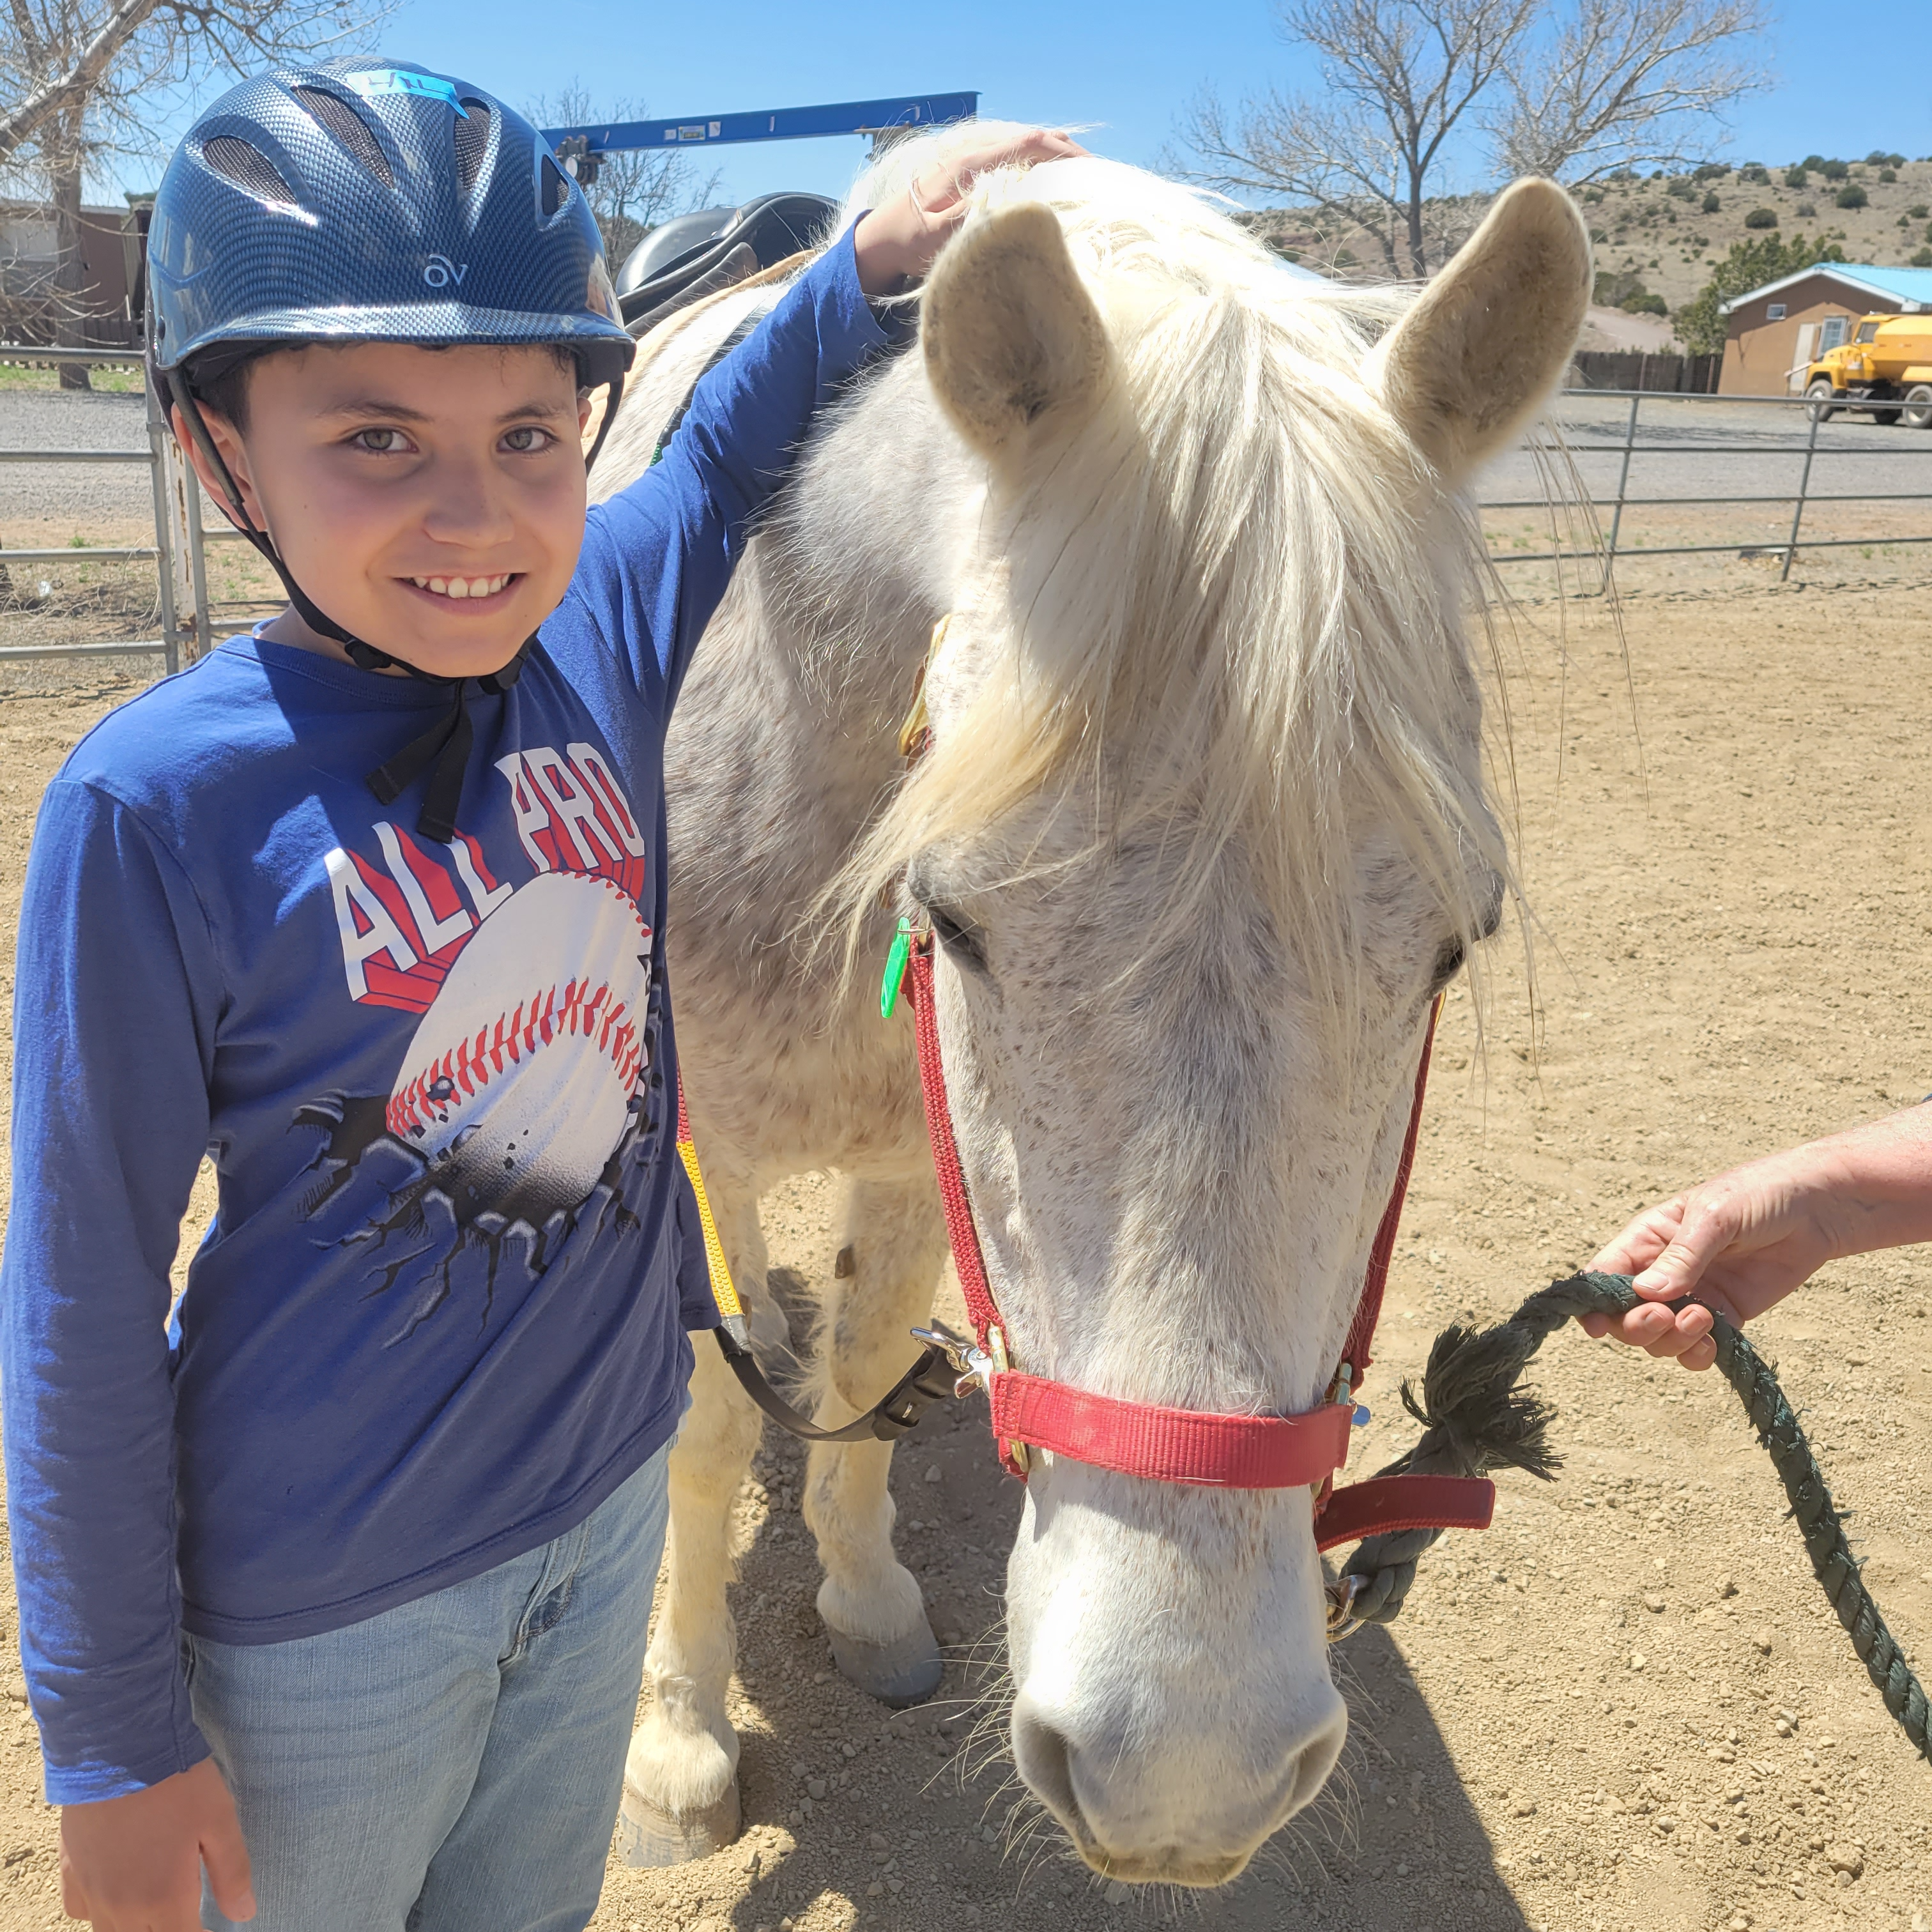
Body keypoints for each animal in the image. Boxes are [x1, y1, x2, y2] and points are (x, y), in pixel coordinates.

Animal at [595, 136, 1591, 1885]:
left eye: (1452, 951)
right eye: (953, 920)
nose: (1184, 1773)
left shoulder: (911, 1154)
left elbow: (865, 1369)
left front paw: (866, 1601)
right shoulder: (702, 1148)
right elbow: (706, 1434)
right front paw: (677, 1738)